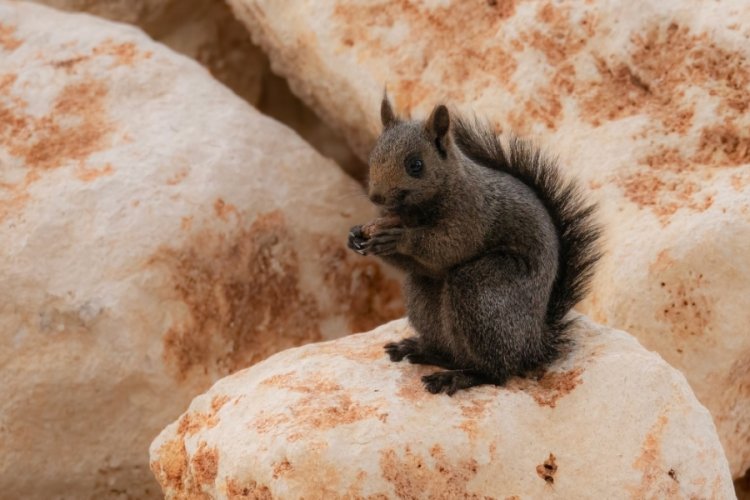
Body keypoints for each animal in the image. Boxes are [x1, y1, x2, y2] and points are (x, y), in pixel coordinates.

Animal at [350, 95, 604, 396]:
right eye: (373, 156)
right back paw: (420, 349)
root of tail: (533, 343)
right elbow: (423, 263)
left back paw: (458, 377)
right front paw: (356, 235)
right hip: (424, 295)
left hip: (481, 292)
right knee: (454, 353)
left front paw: (398, 238)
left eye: (416, 165)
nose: (376, 197)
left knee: (497, 372)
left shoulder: (472, 215)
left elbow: (447, 248)